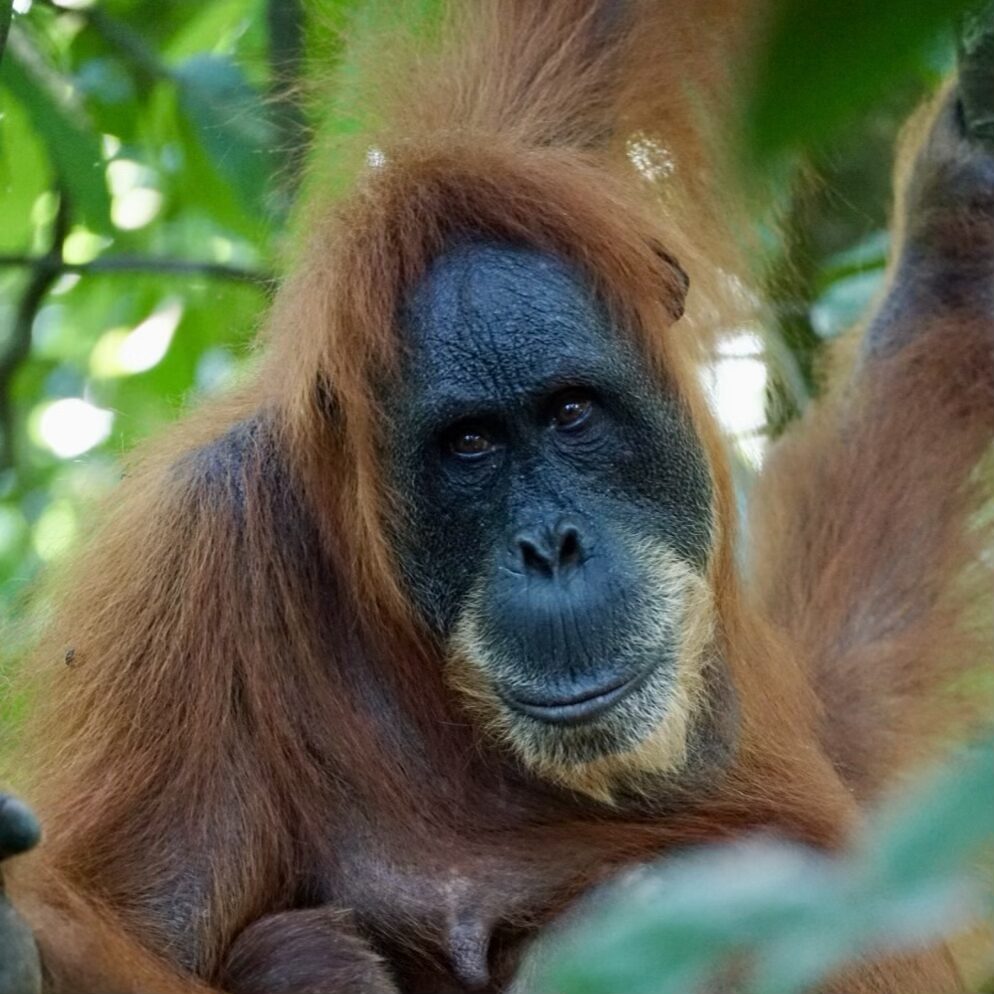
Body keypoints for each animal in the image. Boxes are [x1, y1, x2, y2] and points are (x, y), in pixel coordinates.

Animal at [0, 1, 991, 992]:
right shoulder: (186, 563)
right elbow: (154, 918)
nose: (552, 547)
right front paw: (18, 941)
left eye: (570, 413)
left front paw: (956, 225)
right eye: (471, 443)